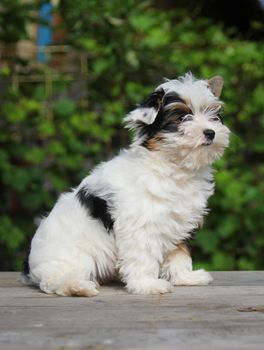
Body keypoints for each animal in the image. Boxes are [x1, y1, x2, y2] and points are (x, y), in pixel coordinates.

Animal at [22, 73, 230, 296]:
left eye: (214, 116)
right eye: (181, 118)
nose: (210, 132)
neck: (174, 168)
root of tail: (30, 266)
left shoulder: (180, 221)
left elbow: (179, 251)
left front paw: (185, 277)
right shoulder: (141, 225)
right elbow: (144, 254)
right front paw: (147, 284)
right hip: (71, 257)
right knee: (54, 280)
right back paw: (78, 286)